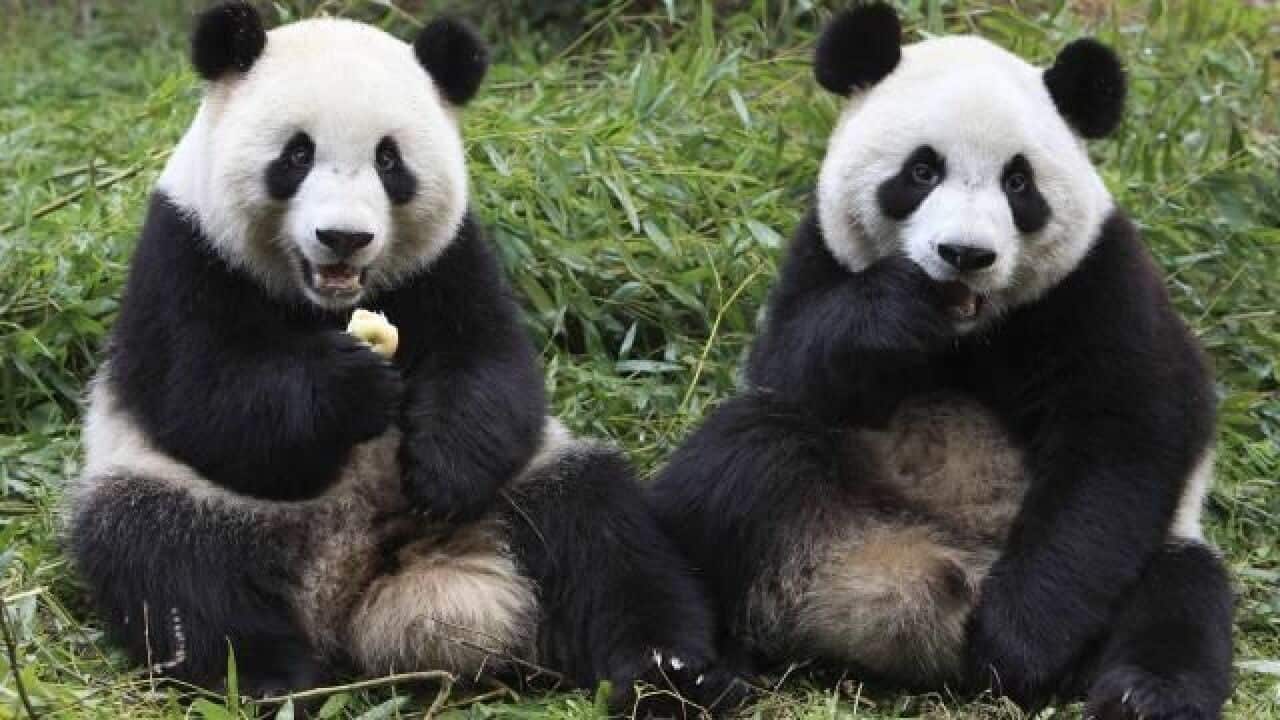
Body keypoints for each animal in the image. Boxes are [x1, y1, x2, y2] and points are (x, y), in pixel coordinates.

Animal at [67, 3, 739, 711]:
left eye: (389, 160)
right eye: (297, 153)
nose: (343, 237)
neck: (326, 301)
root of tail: (355, 577)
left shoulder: (452, 259)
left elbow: (494, 371)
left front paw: (439, 463)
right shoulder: (184, 254)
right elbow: (206, 397)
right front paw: (354, 388)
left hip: (524, 489)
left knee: (603, 535)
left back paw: (672, 673)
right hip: (195, 499)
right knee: (166, 565)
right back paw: (271, 678)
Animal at [651, 4, 1234, 719]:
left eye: (1019, 182)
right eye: (922, 171)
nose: (965, 254)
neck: (969, 327)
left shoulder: (1101, 285)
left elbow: (1120, 444)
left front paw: (1015, 643)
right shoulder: (819, 253)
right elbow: (786, 366)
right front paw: (894, 310)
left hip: (1157, 551)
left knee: (1180, 596)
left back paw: (1141, 694)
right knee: (736, 464)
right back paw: (699, 672)